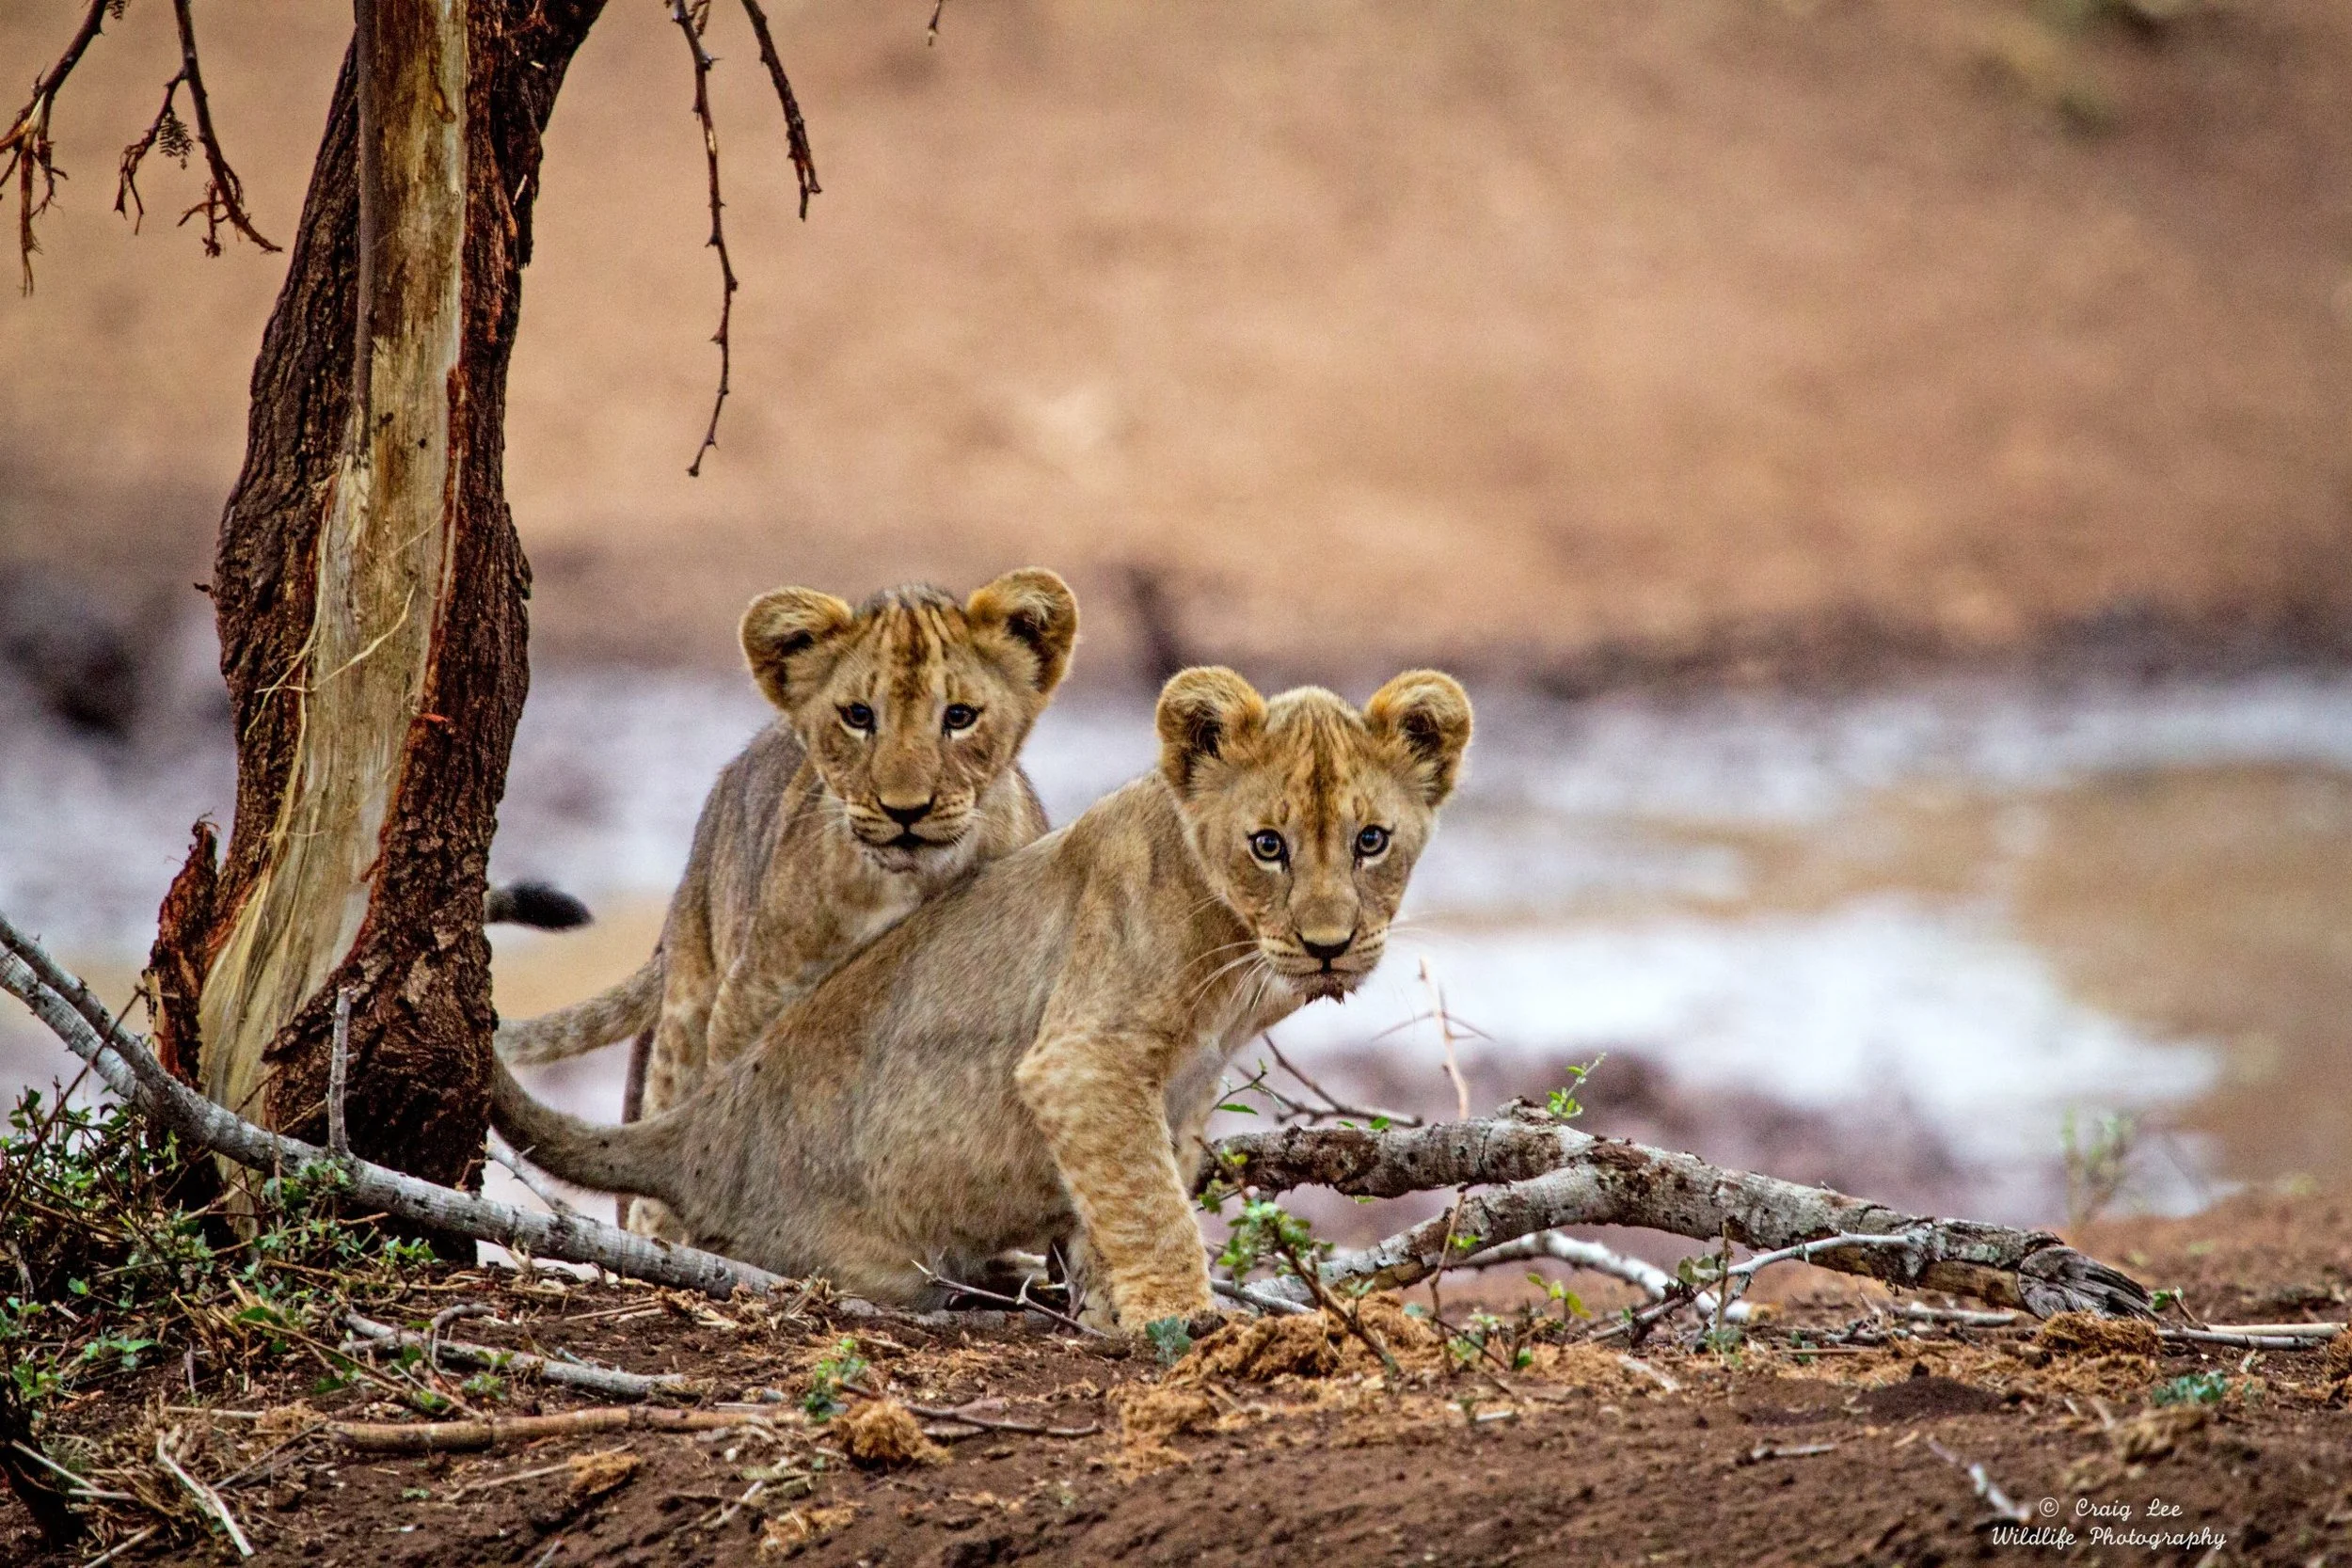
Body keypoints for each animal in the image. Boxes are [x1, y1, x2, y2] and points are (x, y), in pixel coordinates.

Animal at [492, 665, 1472, 1331]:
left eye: (1372, 840)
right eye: (1267, 844)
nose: (1329, 944)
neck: (1232, 963)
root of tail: (700, 1128)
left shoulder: (1173, 1090)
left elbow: (1116, 1202)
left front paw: (1106, 1311)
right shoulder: (1081, 1059)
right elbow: (1152, 1208)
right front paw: (1182, 1320)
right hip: (862, 1257)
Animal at [494, 570, 1079, 1237]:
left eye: (959, 717)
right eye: (858, 716)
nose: (906, 810)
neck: (914, 885)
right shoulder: (750, 1006)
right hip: (685, 1018)